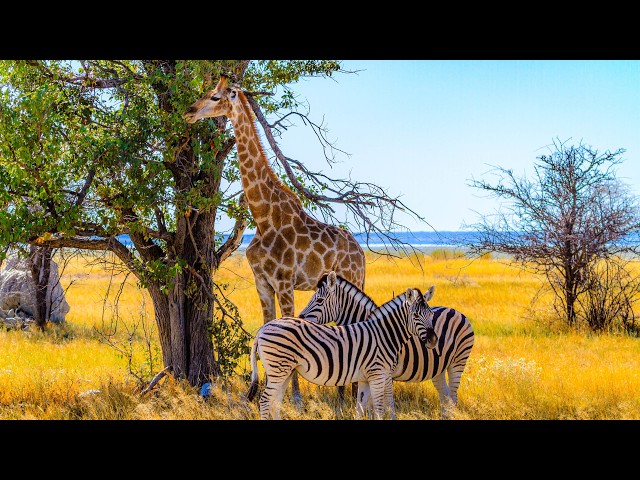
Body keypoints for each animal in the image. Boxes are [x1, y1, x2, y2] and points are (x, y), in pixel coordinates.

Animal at [183, 75, 366, 403]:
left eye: (215, 97)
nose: (189, 112)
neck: (263, 214)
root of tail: (362, 253)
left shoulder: (284, 282)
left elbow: (289, 331)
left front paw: (295, 399)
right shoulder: (262, 283)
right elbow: (267, 329)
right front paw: (263, 393)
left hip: (353, 281)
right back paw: (343, 395)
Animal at [246, 285, 438, 420]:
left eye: (431, 314)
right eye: (415, 315)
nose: (433, 341)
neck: (383, 334)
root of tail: (263, 328)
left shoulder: (366, 378)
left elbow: (361, 409)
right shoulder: (378, 375)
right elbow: (379, 409)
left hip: (284, 371)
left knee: (274, 402)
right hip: (278, 369)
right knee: (265, 401)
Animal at [298, 271, 475, 419]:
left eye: (319, 300)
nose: (300, 317)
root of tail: (458, 312)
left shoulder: (386, 373)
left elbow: (387, 404)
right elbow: (369, 404)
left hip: (457, 362)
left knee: (453, 396)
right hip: (439, 368)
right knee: (445, 397)